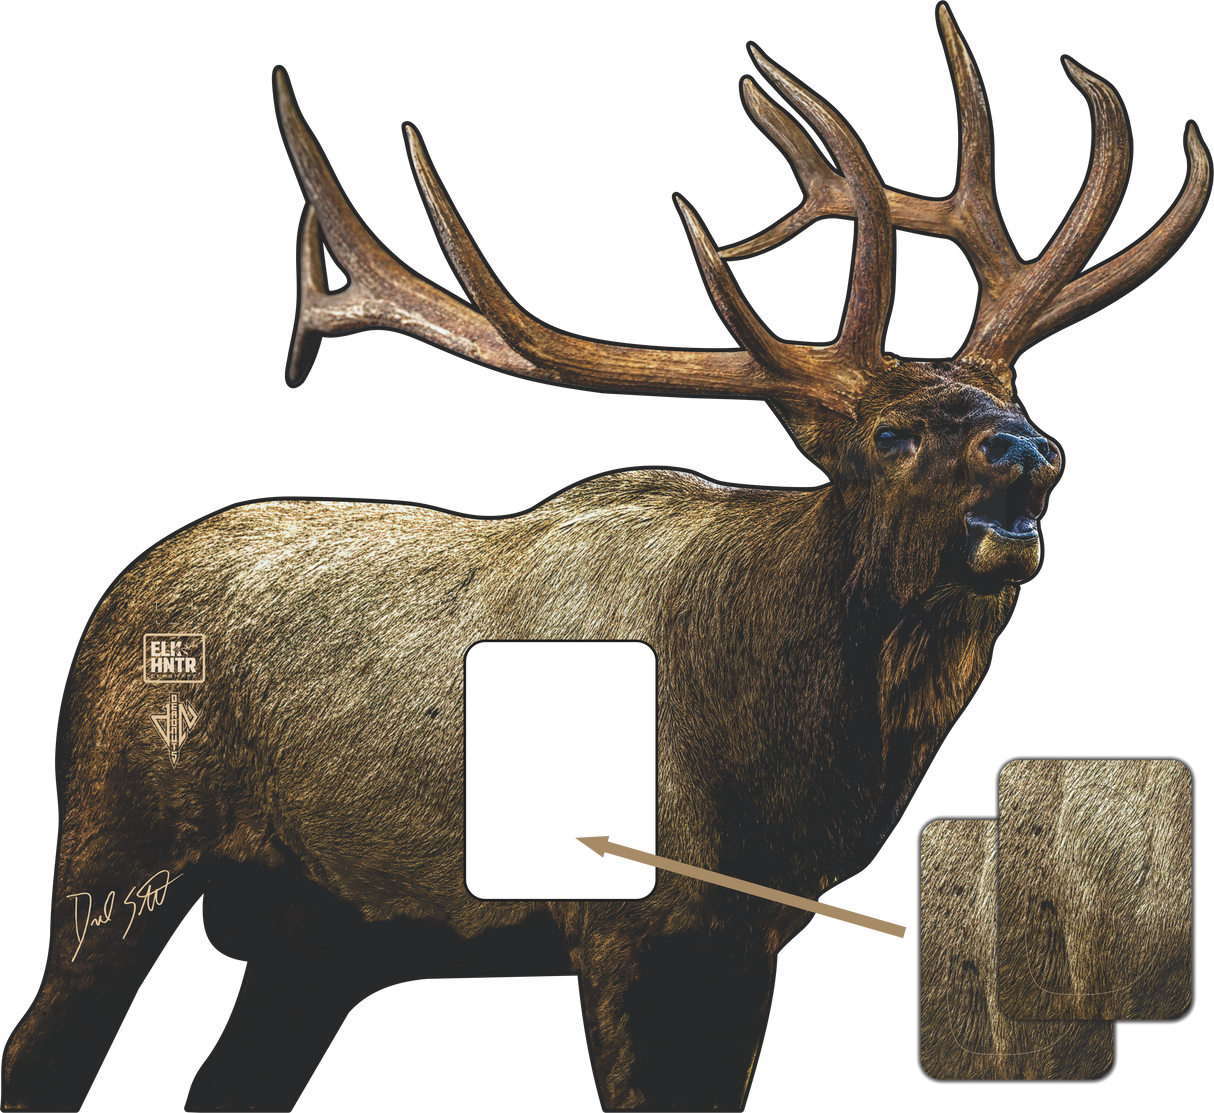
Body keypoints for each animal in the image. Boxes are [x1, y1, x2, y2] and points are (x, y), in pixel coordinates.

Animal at [4, 5, 1208, 1109]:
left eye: (1020, 403)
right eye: (890, 436)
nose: (1031, 454)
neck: (787, 775)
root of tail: (117, 595)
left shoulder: (751, 934)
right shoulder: (618, 924)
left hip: (319, 934)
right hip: (114, 845)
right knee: (38, 1046)